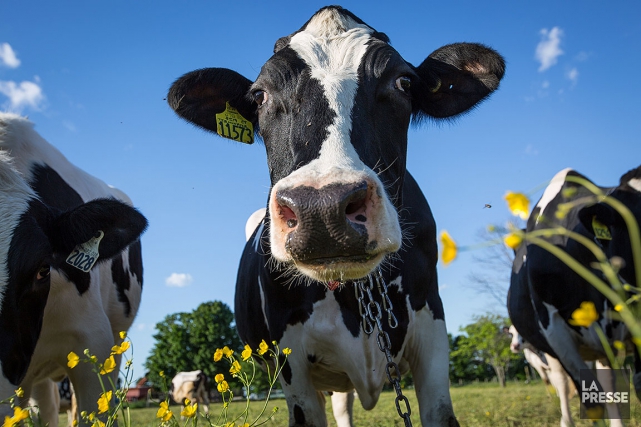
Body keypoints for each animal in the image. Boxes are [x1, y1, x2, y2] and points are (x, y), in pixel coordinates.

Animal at [166, 6, 504, 427]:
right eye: (259, 95)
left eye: (403, 82)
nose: (322, 208)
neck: (356, 298)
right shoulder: (291, 363)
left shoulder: (432, 328)